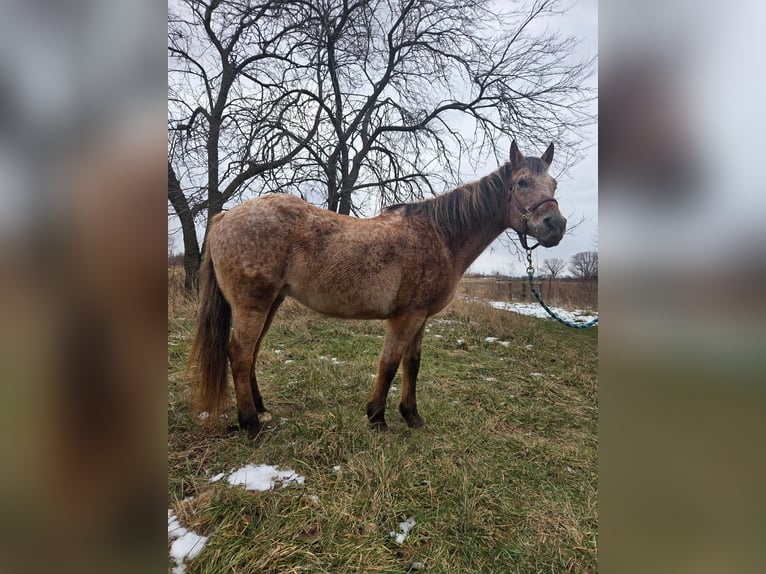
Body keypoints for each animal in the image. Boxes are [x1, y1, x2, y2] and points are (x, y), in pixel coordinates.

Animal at [189, 140, 566, 437]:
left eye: (554, 184)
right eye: (521, 182)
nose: (556, 225)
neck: (440, 235)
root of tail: (223, 218)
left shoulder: (421, 317)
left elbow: (412, 363)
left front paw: (412, 416)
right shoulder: (406, 316)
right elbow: (390, 362)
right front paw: (377, 418)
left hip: (270, 303)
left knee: (250, 353)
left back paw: (261, 410)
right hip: (252, 305)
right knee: (240, 353)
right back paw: (250, 423)